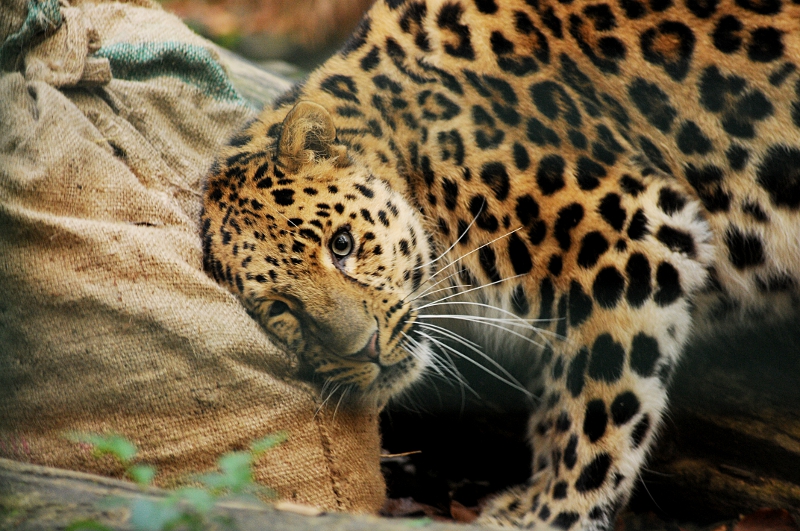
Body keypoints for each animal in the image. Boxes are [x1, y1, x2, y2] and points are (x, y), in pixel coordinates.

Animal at [201, 0, 800, 528]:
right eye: (282, 309)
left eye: (342, 245)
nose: (363, 349)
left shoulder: (634, 236)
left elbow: (599, 404)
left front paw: (552, 513)